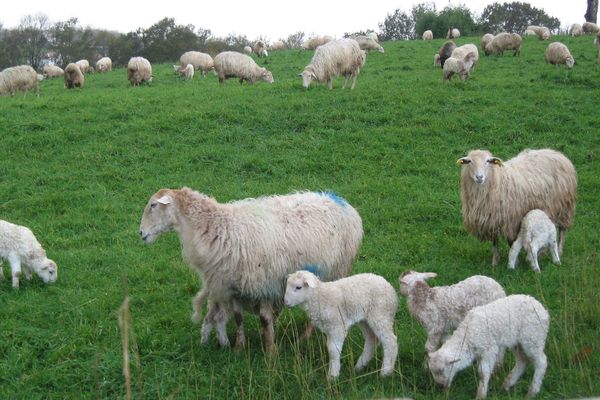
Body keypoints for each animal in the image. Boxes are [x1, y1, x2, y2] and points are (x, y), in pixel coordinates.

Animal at [141, 189, 364, 352]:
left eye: (153, 205)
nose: (141, 233)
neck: (217, 226)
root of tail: (343, 202)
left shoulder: (265, 283)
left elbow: (264, 319)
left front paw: (270, 351)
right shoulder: (235, 289)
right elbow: (239, 318)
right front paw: (240, 347)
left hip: (337, 270)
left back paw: (305, 336)